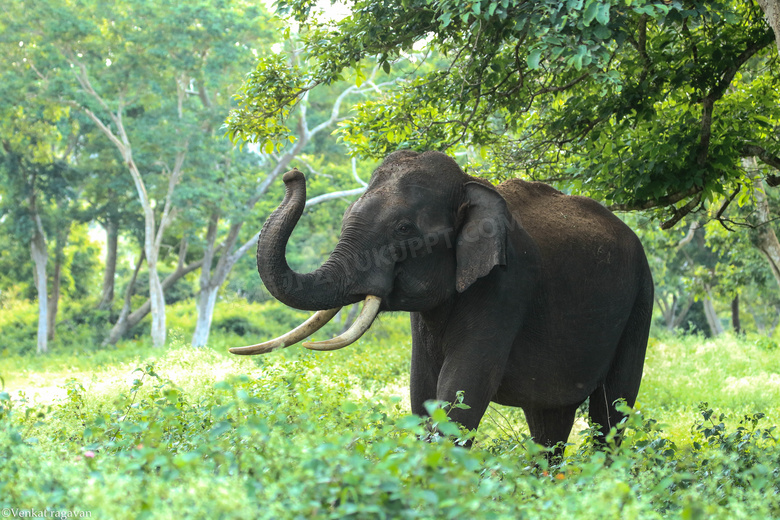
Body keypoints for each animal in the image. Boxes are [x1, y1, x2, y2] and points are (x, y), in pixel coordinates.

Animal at [230, 148, 652, 452]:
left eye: (403, 229)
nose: (292, 174)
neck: (470, 183)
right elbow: (423, 390)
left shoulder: (506, 286)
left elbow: (462, 390)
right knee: (549, 422)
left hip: (641, 299)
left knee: (612, 410)